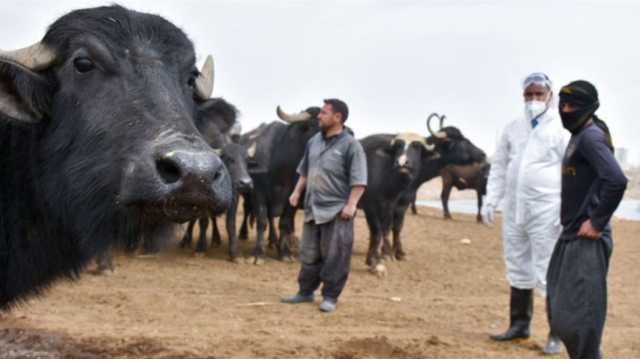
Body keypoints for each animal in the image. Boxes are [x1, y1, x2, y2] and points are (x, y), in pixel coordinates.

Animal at [358, 133, 438, 268]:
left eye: (417, 147)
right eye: (398, 146)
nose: (401, 163)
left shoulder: (393, 205)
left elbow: (390, 228)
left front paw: (390, 254)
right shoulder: (370, 206)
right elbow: (377, 230)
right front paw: (373, 260)